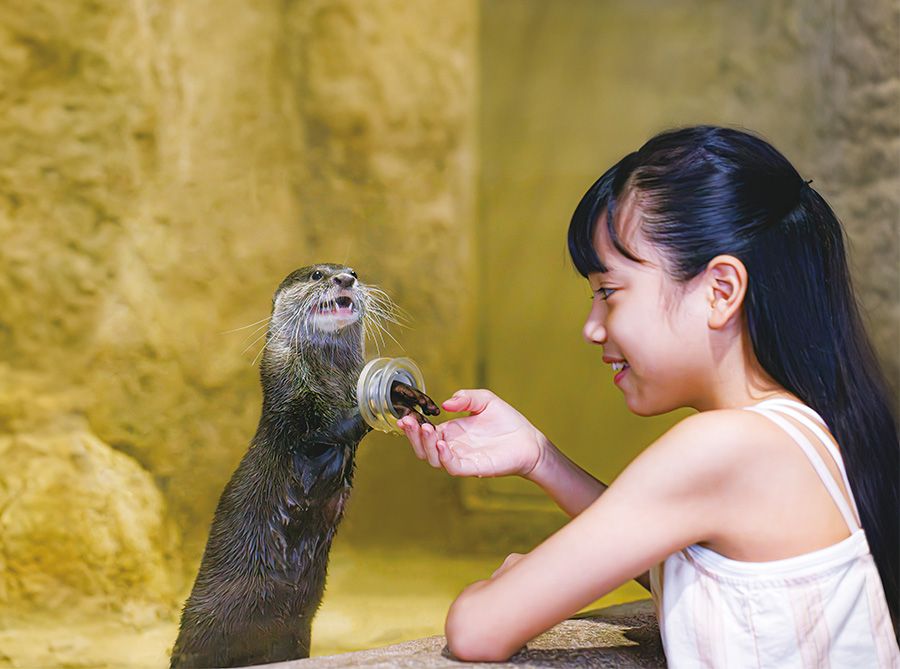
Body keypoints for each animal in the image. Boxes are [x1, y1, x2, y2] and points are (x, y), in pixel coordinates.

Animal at [170, 266, 440, 668]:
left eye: (353, 270)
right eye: (317, 275)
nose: (346, 278)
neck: (328, 382)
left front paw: (412, 399)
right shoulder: (296, 417)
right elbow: (331, 428)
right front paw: (393, 394)